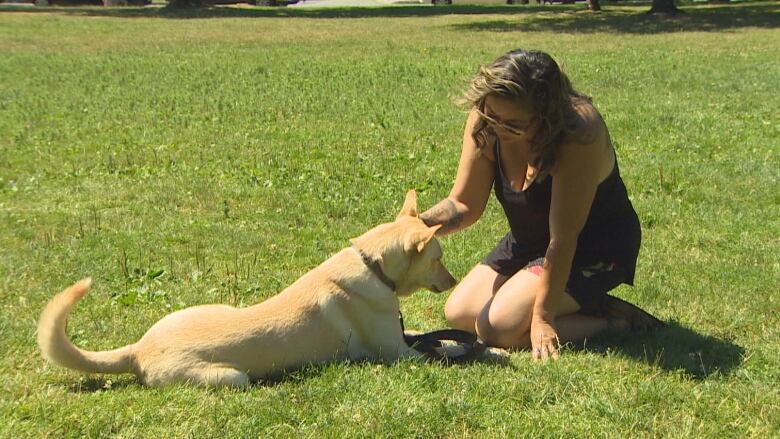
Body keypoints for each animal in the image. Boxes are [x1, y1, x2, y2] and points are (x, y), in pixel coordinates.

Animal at [38, 192, 458, 388]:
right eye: (439, 258)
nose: (455, 282)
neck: (372, 264)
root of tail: (138, 349)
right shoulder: (397, 354)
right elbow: (435, 353)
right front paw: (456, 350)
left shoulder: (401, 338)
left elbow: (425, 337)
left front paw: (445, 340)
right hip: (231, 377)